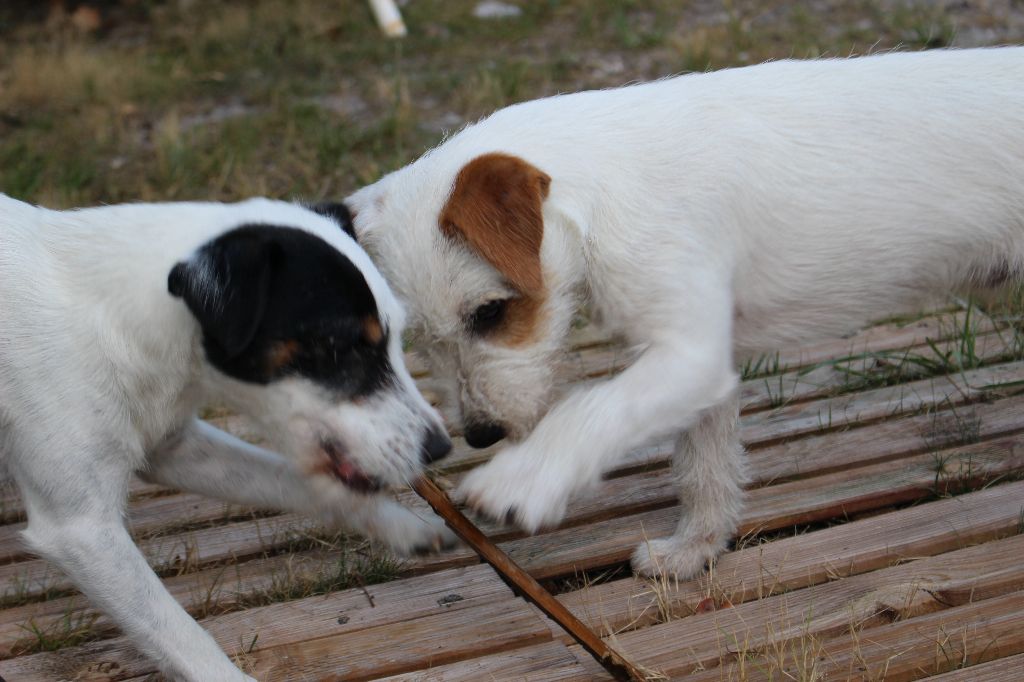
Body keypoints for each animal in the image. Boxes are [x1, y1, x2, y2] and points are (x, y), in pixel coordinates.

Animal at [0, 193, 452, 675]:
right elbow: (182, 635)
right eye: (339, 347)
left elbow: (299, 483)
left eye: (400, 338)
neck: (117, 321)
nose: (440, 447)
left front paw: (401, 525)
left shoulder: (173, 449)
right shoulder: (81, 529)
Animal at [348, 47, 1024, 577]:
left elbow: (592, 409)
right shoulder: (701, 368)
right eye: (421, 341)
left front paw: (522, 480)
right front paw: (693, 551)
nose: (482, 433)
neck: (602, 188)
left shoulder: (688, 355)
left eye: (489, 313)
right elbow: (704, 468)